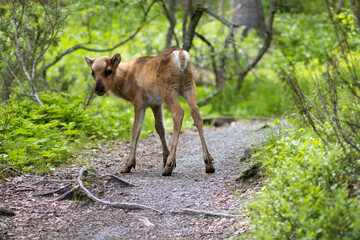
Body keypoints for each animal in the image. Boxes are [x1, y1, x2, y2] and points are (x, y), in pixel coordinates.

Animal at [83, 46, 214, 175]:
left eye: (109, 70)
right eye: (92, 73)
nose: (98, 89)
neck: (125, 80)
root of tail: (181, 55)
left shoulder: (139, 101)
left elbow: (136, 130)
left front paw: (128, 165)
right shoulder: (156, 103)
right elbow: (160, 128)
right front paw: (165, 158)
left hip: (168, 88)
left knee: (179, 112)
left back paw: (169, 166)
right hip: (189, 85)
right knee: (196, 112)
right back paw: (209, 163)